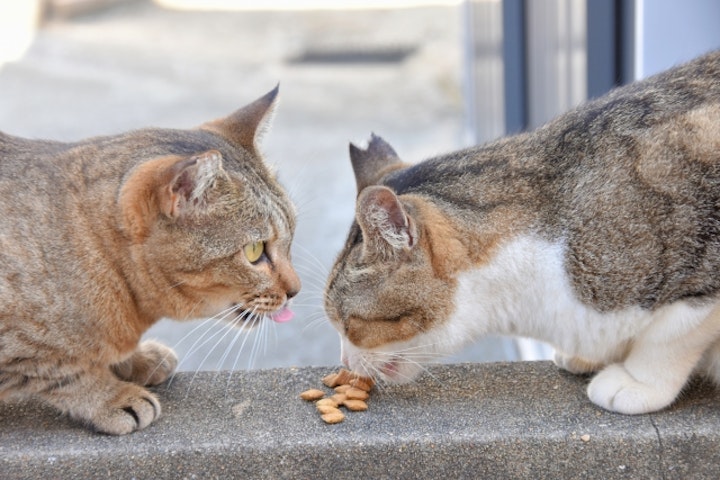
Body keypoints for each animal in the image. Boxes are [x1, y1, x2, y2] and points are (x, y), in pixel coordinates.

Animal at [0, 87, 298, 436]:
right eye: (254, 251)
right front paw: (110, 395)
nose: (295, 290)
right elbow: (61, 370)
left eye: (291, 235)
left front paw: (136, 359)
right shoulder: (20, 346)